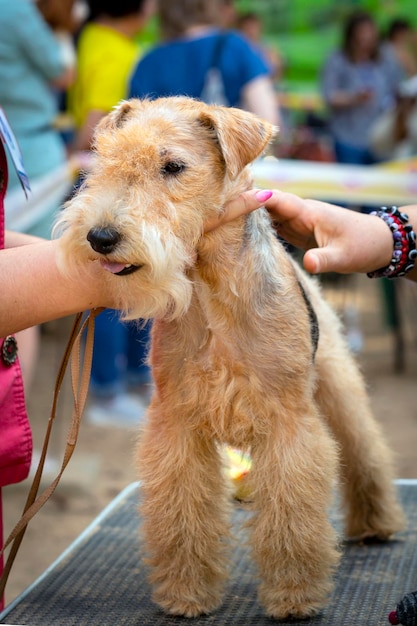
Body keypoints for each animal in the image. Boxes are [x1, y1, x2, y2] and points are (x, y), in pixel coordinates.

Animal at [54, 95, 404, 616]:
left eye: (173, 166)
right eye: (105, 161)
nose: (100, 237)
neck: (210, 285)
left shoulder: (287, 421)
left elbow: (293, 515)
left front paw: (294, 594)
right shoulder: (176, 423)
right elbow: (183, 515)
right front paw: (185, 593)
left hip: (336, 386)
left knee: (366, 451)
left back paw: (377, 523)